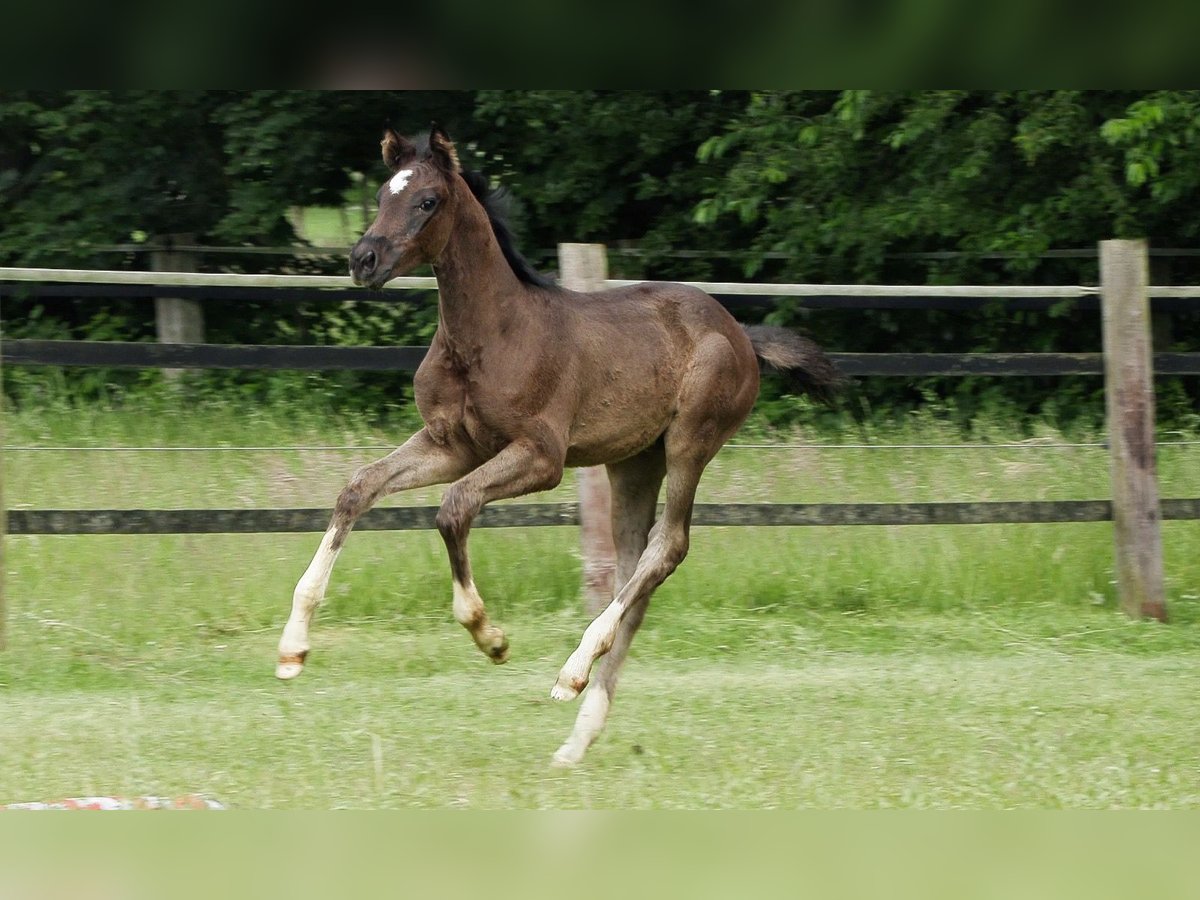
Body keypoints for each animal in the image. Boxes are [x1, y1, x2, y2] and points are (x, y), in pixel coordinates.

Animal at [276, 127, 840, 768]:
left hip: (690, 442)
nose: (362, 260)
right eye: (378, 196)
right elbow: (358, 488)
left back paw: (571, 676)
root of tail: (742, 333)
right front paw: (292, 650)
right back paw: (579, 735)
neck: (490, 335)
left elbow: (453, 509)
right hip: (633, 461)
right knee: (635, 568)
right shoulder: (451, 444)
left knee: (667, 548)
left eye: (427, 201)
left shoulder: (541, 457)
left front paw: (490, 637)